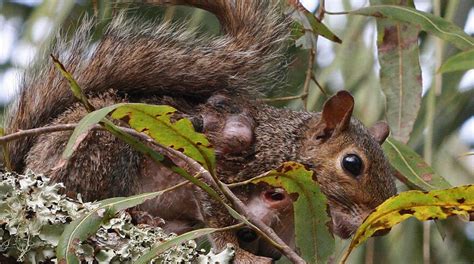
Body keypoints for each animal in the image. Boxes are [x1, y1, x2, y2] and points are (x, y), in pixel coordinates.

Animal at [3, 1, 396, 262]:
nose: (382, 226)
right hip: (101, 145)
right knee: (86, 195)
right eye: (352, 164)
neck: (290, 149)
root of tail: (30, 171)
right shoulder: (232, 170)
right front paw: (239, 252)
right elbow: (218, 213)